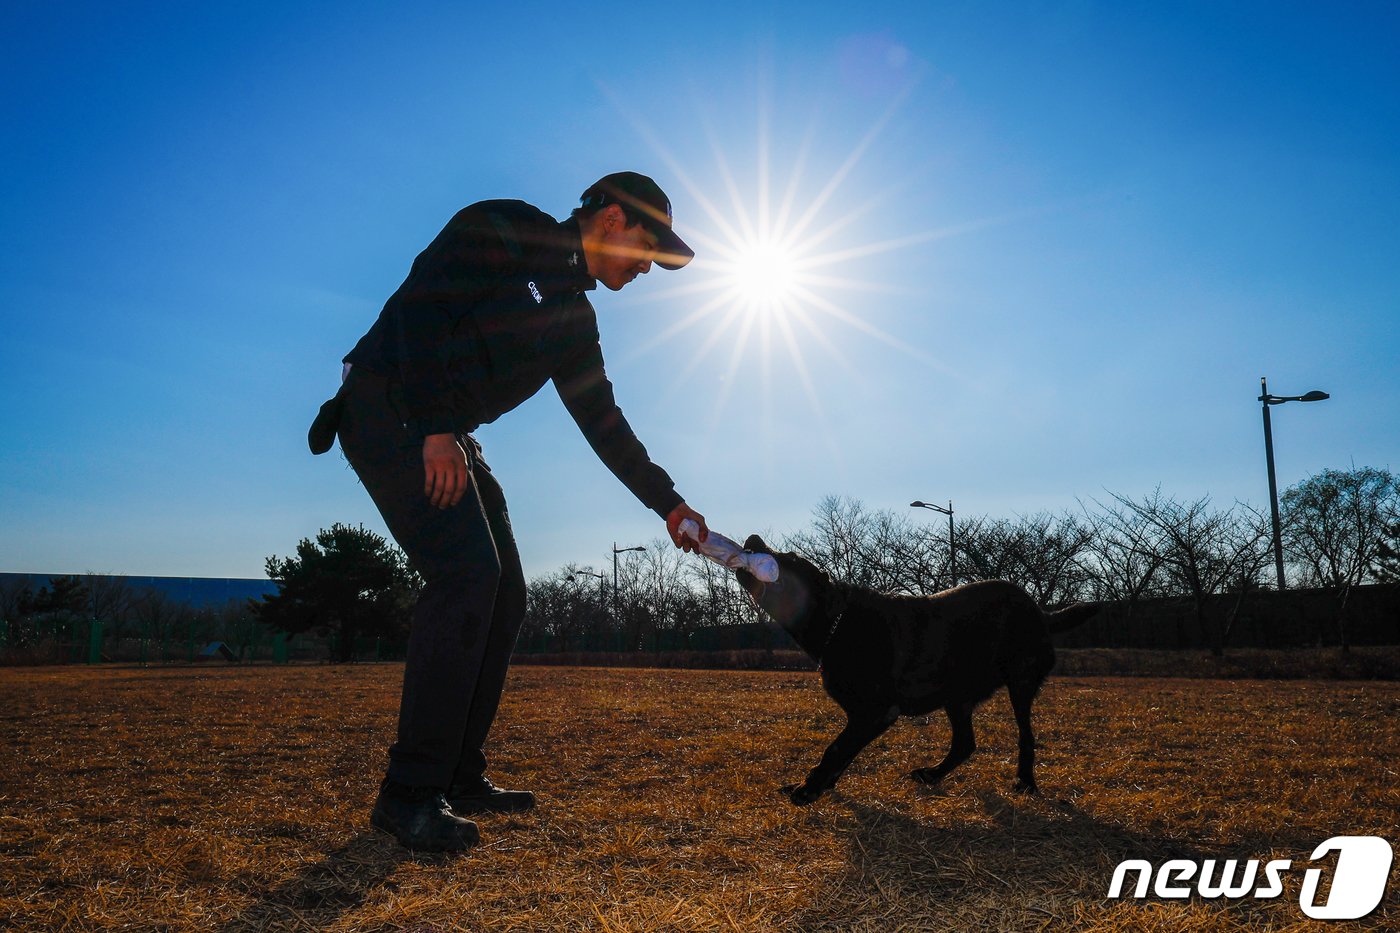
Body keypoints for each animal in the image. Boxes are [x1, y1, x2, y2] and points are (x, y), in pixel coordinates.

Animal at [733, 535, 1092, 801]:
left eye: (790, 558)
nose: (753, 537)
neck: (836, 622)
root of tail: (1041, 611)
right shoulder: (862, 715)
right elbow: (844, 751)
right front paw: (821, 784)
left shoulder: (877, 711)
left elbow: (836, 748)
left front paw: (809, 788)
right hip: (957, 695)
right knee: (965, 743)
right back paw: (932, 774)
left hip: (1020, 682)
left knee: (1025, 737)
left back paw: (1025, 783)